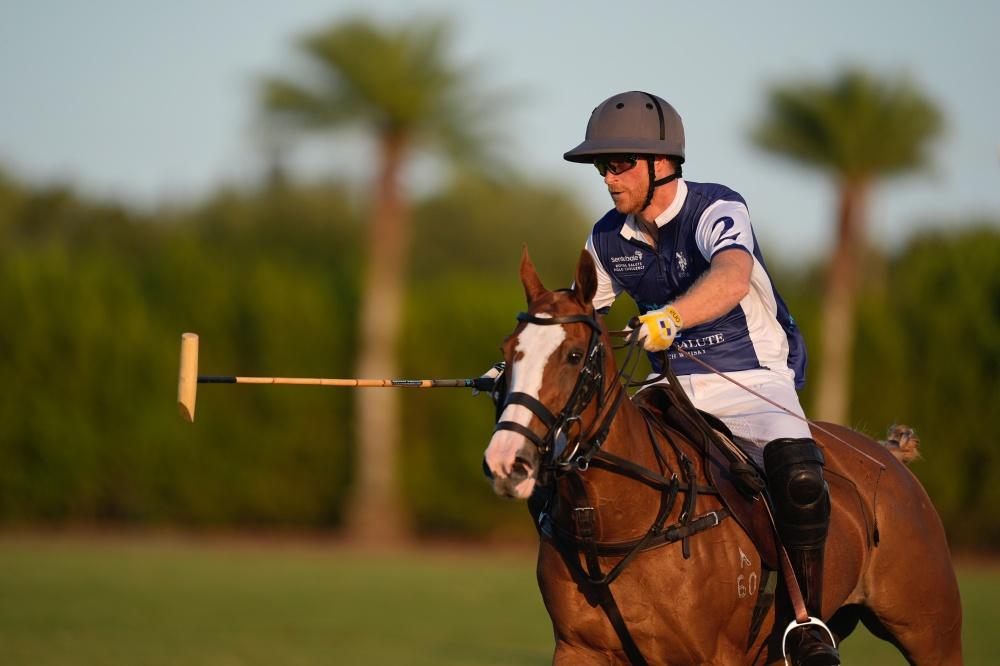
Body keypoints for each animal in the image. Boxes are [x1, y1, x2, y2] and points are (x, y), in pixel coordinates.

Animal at [484, 246, 960, 660]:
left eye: (573, 354)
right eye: (507, 352)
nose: (505, 460)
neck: (620, 521)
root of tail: (889, 455)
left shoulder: (715, 655)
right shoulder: (579, 648)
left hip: (931, 630)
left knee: (802, 482)